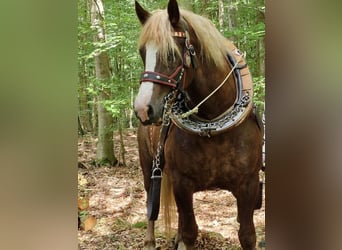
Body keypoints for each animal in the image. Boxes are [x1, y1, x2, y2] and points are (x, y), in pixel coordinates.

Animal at [133, 0, 262, 249]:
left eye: (171, 54)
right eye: (143, 53)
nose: (143, 109)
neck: (212, 125)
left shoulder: (248, 184)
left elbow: (247, 236)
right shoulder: (182, 183)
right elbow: (190, 232)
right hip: (148, 167)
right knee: (150, 199)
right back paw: (150, 240)